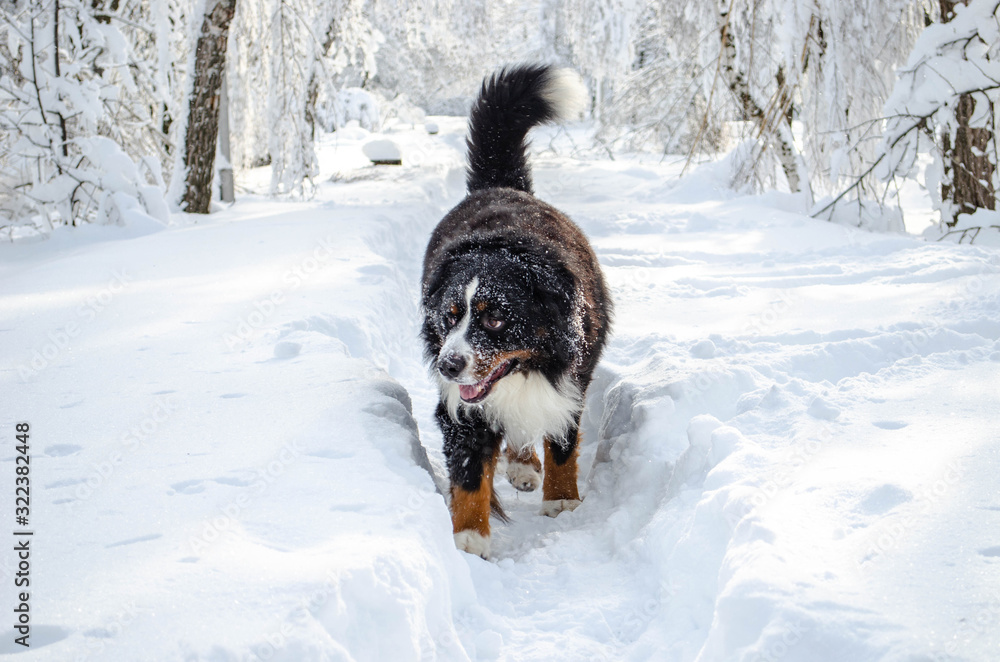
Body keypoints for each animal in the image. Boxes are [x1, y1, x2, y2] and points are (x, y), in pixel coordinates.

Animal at [420, 65, 612, 556]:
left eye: (495, 318)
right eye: (451, 315)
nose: (448, 365)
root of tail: (500, 186)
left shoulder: (571, 378)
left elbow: (562, 442)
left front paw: (562, 501)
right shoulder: (460, 404)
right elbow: (469, 469)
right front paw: (469, 537)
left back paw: (526, 465)